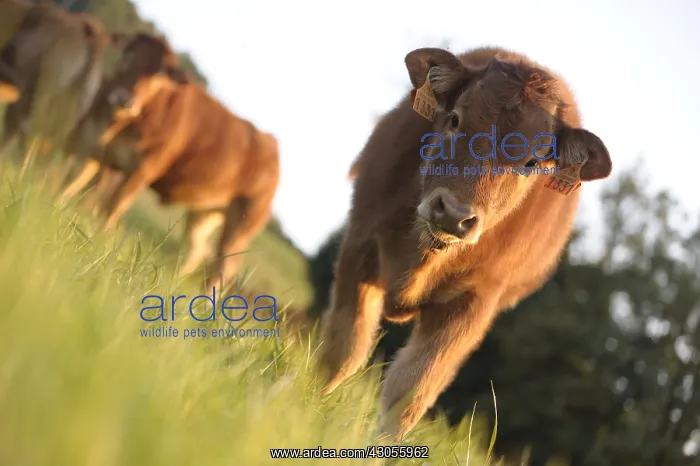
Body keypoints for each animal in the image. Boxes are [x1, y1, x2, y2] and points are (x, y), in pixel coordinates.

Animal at [318, 46, 612, 440]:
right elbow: (342, 351)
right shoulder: (360, 246)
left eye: (532, 162)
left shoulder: (474, 303)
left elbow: (409, 394)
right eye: (456, 120)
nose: (453, 214)